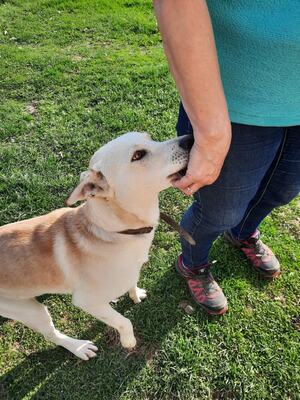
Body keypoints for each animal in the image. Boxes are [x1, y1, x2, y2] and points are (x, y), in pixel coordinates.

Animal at [0, 131, 192, 360]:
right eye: (138, 155)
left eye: (150, 137)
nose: (190, 139)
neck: (112, 231)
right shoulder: (86, 301)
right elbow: (123, 321)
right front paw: (128, 341)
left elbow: (131, 283)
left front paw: (135, 294)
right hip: (30, 311)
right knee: (52, 335)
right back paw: (80, 347)